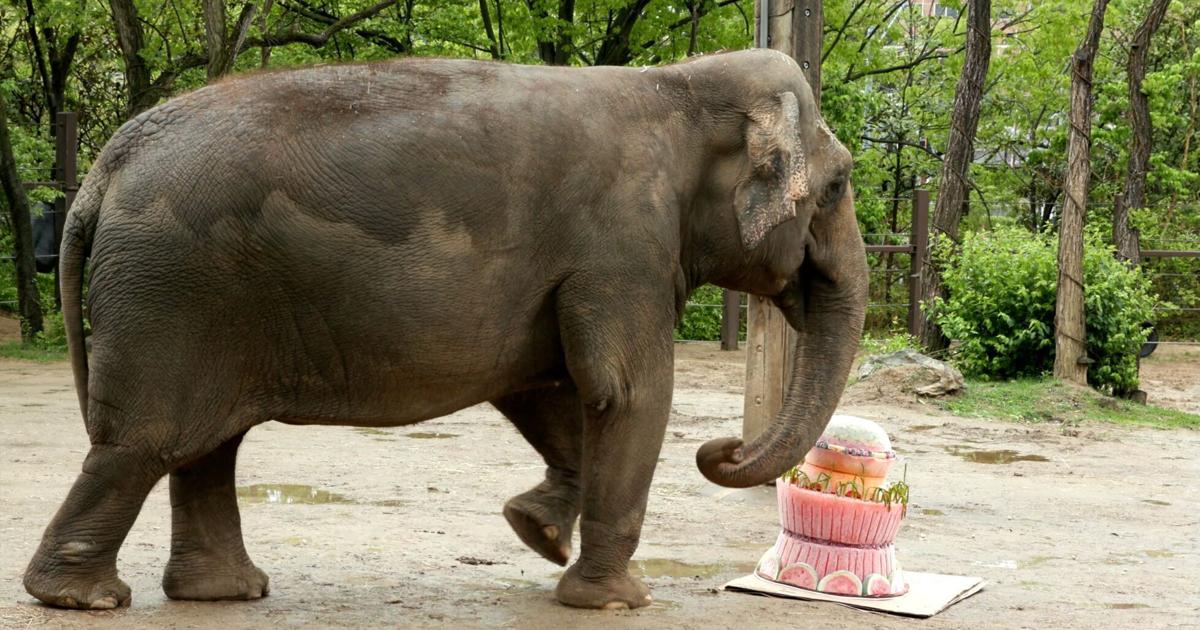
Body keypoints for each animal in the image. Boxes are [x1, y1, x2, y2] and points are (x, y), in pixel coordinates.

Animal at [23, 48, 867, 611]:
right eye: (838, 185)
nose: (722, 449)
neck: (678, 83)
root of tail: (105, 165)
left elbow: (546, 387)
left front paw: (536, 533)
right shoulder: (623, 240)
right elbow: (626, 392)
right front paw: (616, 600)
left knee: (204, 448)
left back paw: (223, 593)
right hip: (173, 293)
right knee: (144, 443)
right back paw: (83, 599)